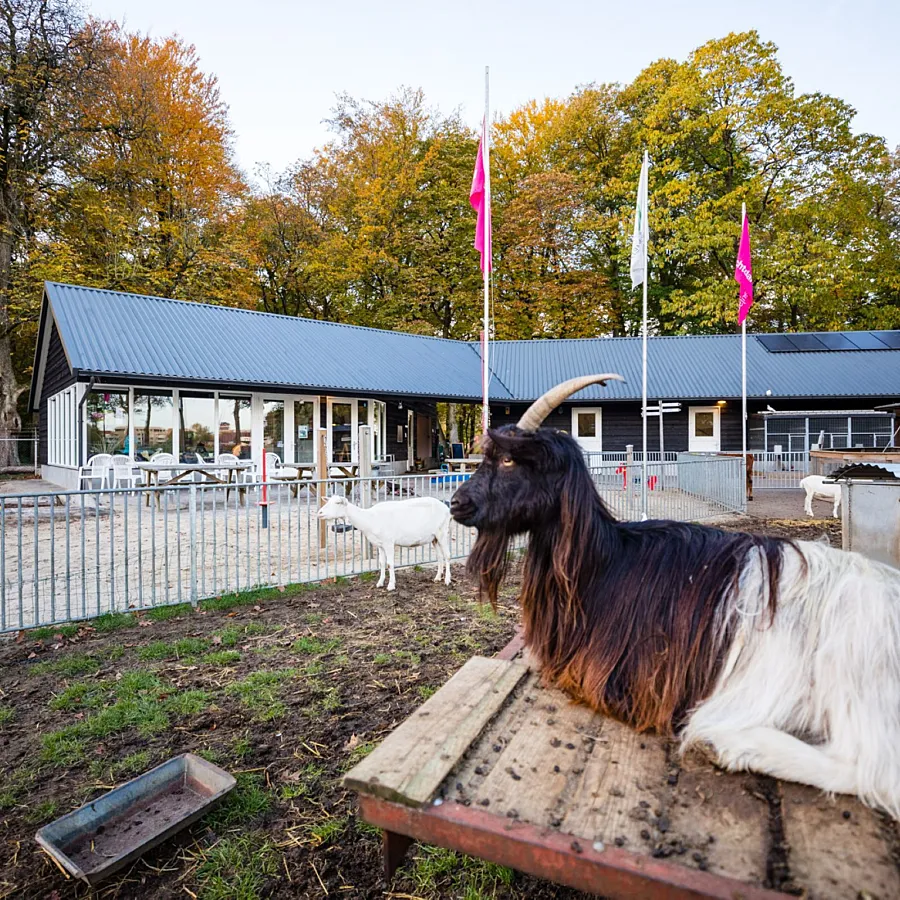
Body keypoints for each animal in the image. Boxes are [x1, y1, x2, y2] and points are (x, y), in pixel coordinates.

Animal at [320, 492, 454, 592]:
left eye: (337, 503)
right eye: (328, 501)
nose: (319, 513)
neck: (370, 519)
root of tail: (446, 508)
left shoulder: (389, 542)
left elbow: (390, 564)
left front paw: (391, 585)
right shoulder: (380, 545)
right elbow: (382, 563)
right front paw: (380, 583)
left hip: (442, 532)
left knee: (447, 555)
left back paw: (447, 580)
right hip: (434, 538)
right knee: (440, 556)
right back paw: (437, 578)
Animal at [454, 372, 900, 816]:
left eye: (509, 460)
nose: (458, 503)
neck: (602, 561)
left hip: (851, 659)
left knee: (869, 769)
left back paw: (732, 744)